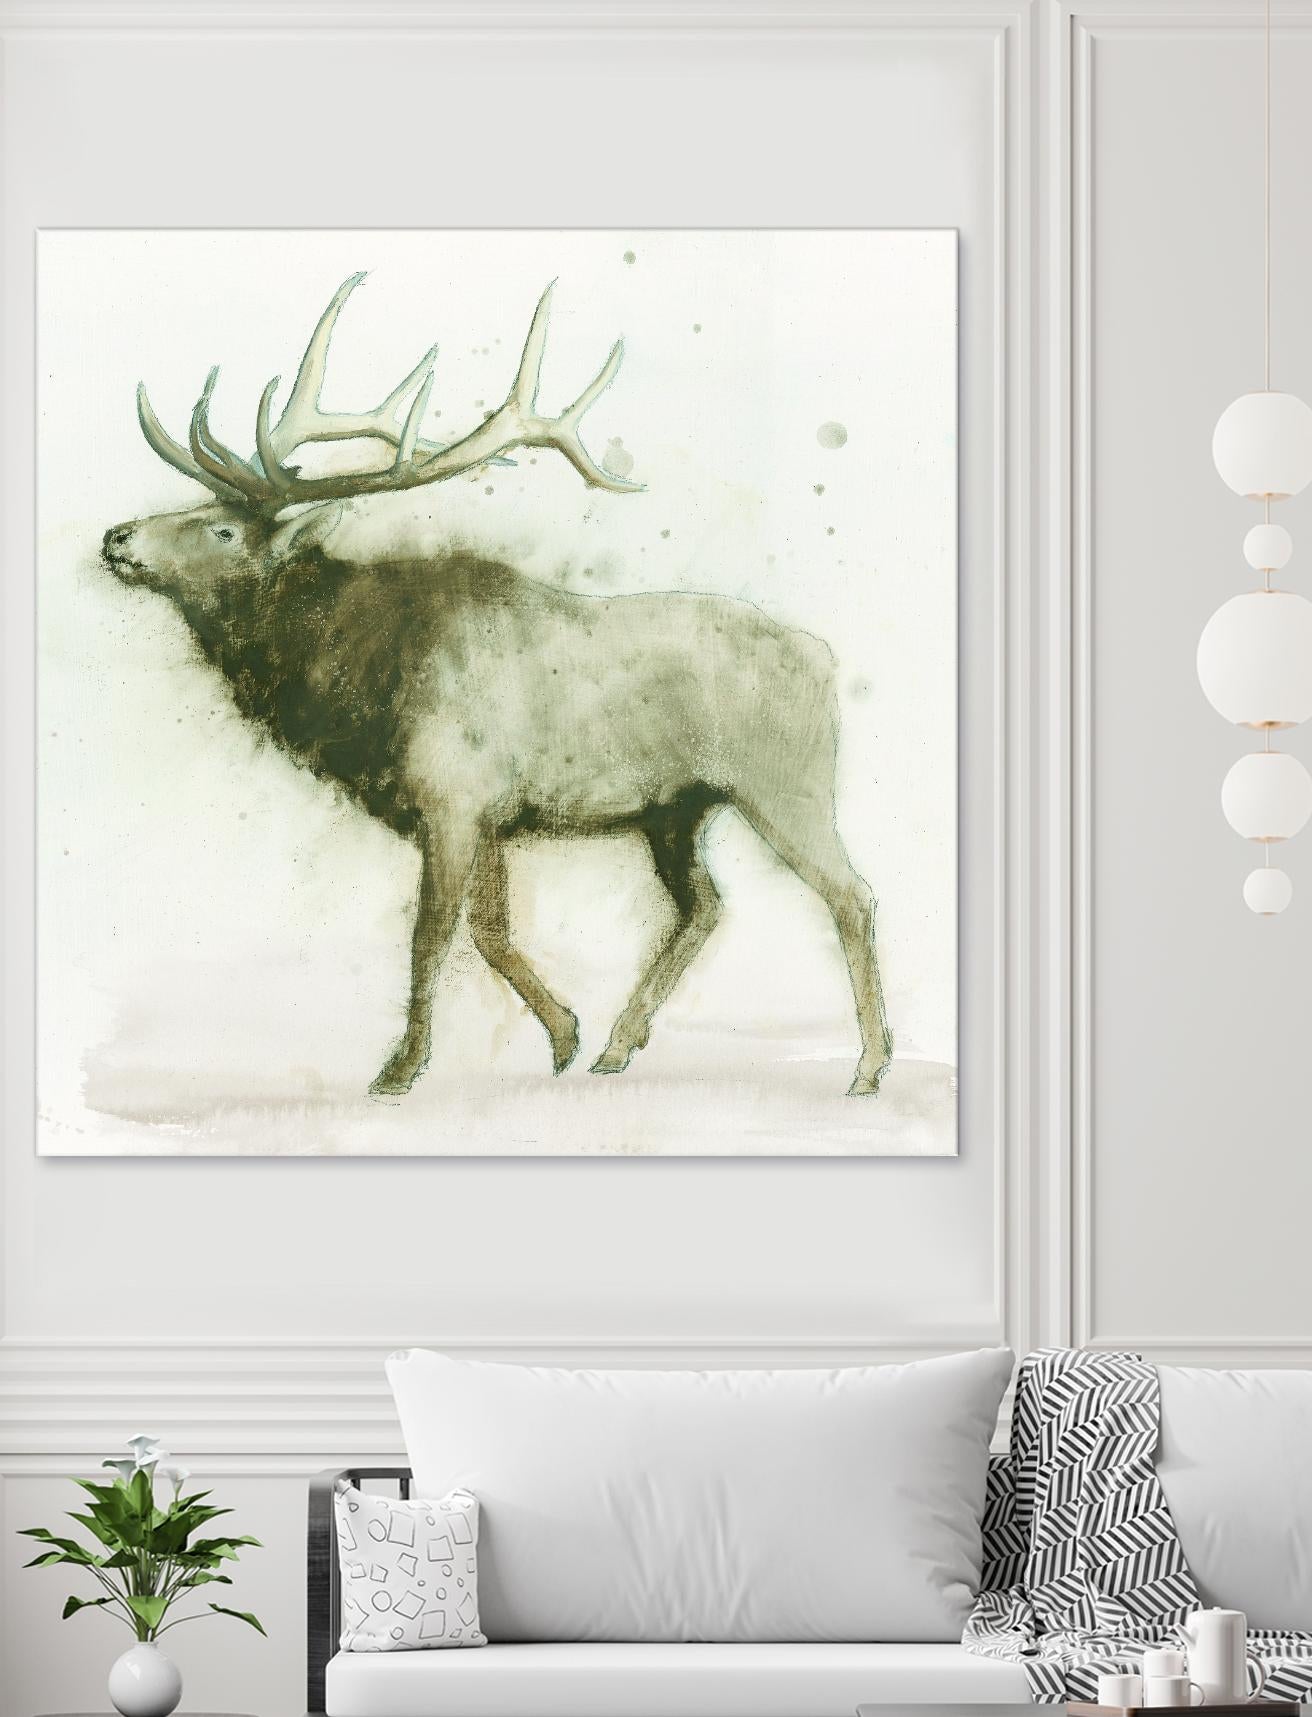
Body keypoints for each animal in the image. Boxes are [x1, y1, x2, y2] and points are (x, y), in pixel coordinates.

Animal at [101, 273, 893, 1098]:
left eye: (222, 529)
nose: (116, 537)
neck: (354, 689)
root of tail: (824, 659)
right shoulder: (491, 815)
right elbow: (490, 929)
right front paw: (565, 1033)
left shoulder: (452, 797)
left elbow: (431, 936)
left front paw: (400, 1067)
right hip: (674, 809)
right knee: (705, 906)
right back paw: (620, 1042)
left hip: (784, 783)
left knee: (851, 893)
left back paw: (869, 1065)